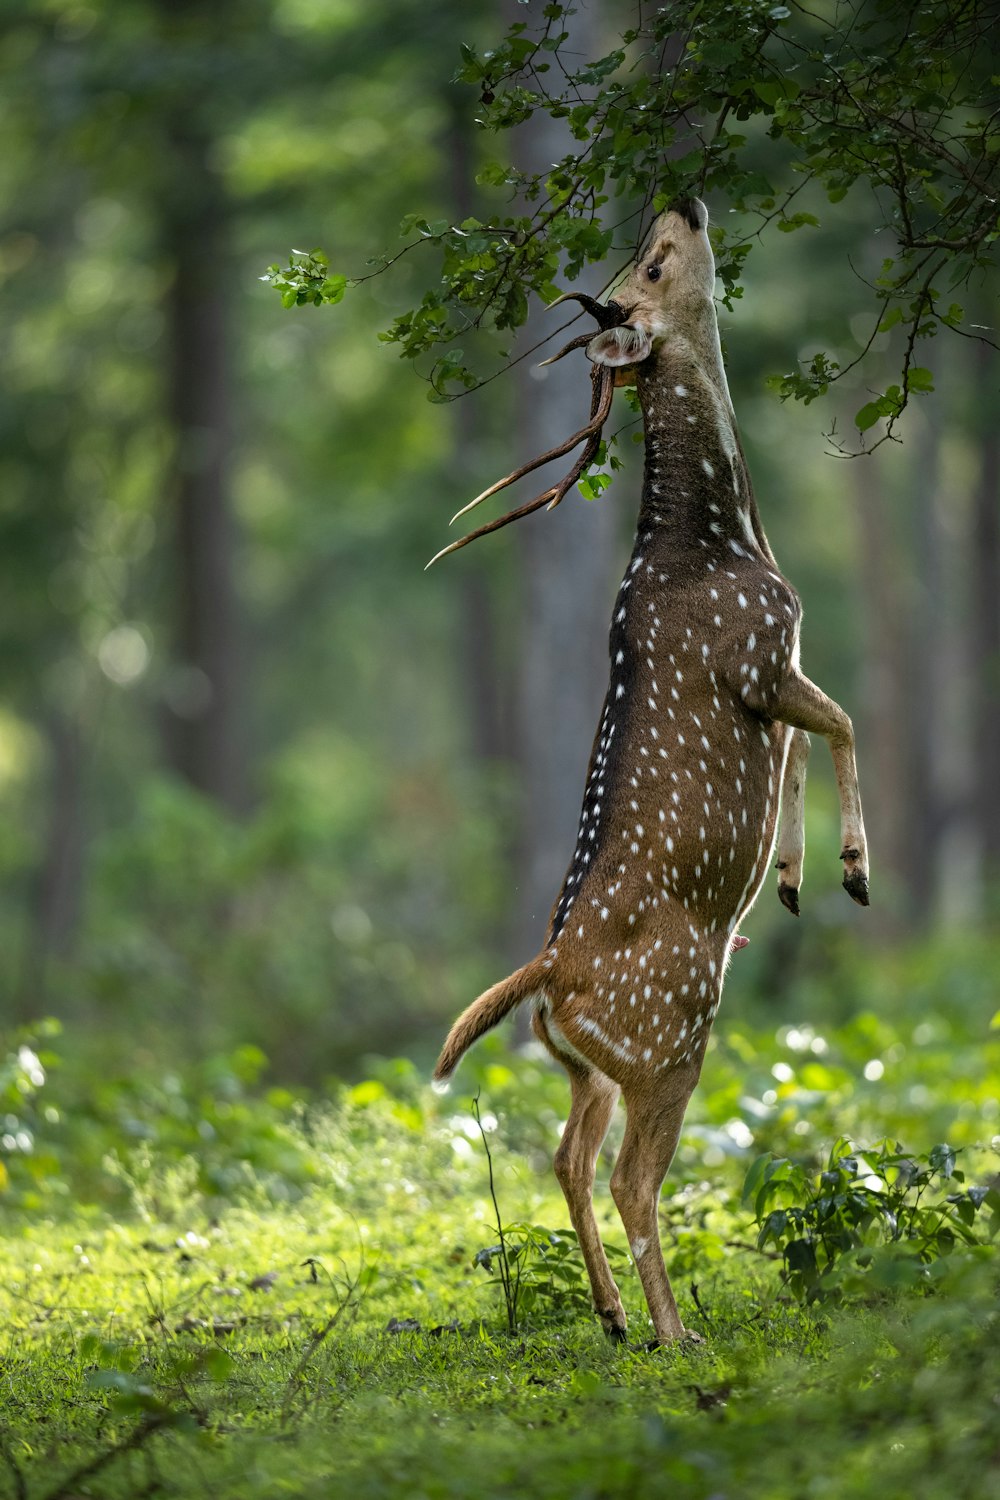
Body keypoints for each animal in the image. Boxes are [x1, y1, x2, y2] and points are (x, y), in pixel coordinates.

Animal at [431, 199, 869, 1350]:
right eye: (657, 266)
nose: (682, 200)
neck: (726, 539)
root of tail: (547, 982)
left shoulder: (780, 668)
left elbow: (810, 746)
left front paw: (796, 878)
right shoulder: (758, 657)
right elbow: (844, 722)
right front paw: (853, 871)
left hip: (584, 1060)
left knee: (566, 1157)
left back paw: (615, 1316)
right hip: (674, 1029)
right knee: (632, 1176)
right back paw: (678, 1331)